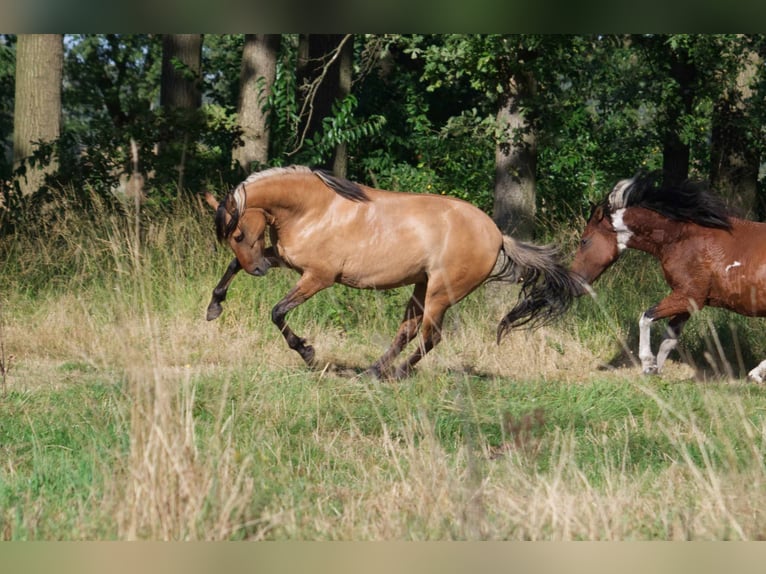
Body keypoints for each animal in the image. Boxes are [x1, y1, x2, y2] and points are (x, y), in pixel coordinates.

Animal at [204, 165, 584, 382]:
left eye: (239, 234)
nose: (259, 271)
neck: (314, 209)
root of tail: (497, 235)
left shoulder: (318, 277)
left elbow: (278, 311)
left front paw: (308, 353)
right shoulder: (286, 259)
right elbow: (233, 267)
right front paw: (214, 307)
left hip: (441, 292)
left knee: (430, 336)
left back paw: (397, 374)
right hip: (422, 286)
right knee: (408, 331)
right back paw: (373, 372)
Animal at [568, 173, 766, 384]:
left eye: (584, 241)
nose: (574, 284)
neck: (682, 237)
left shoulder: (689, 295)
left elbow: (646, 317)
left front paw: (648, 364)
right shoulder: (687, 301)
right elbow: (669, 338)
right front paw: (655, 372)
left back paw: (755, 374)